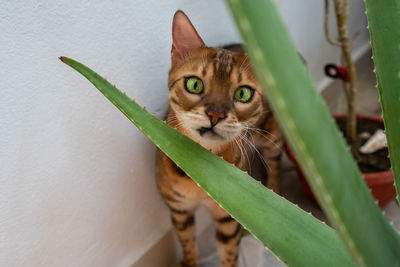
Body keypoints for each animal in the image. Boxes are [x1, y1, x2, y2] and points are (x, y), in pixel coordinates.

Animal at [155, 11, 282, 267]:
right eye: (194, 84)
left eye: (243, 93)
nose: (215, 114)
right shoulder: (179, 210)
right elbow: (187, 242)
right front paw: (189, 261)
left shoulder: (227, 218)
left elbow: (229, 254)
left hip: (272, 139)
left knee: (275, 167)